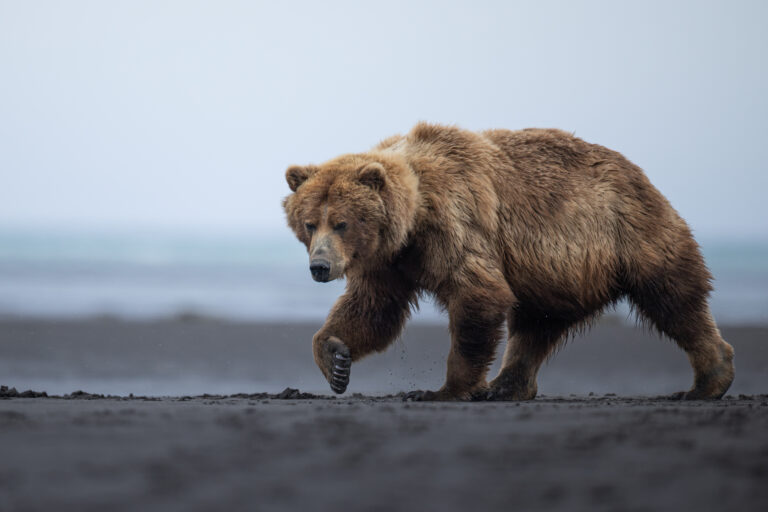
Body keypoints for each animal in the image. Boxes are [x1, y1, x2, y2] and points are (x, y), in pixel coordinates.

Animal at [282, 122, 735, 401]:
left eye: (342, 222)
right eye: (309, 222)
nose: (320, 267)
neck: (413, 220)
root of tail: (640, 174)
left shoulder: (454, 226)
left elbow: (477, 294)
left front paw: (443, 389)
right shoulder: (389, 261)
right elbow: (372, 310)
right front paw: (335, 359)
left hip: (627, 232)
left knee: (673, 298)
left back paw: (708, 379)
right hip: (552, 271)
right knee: (535, 326)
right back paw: (505, 385)